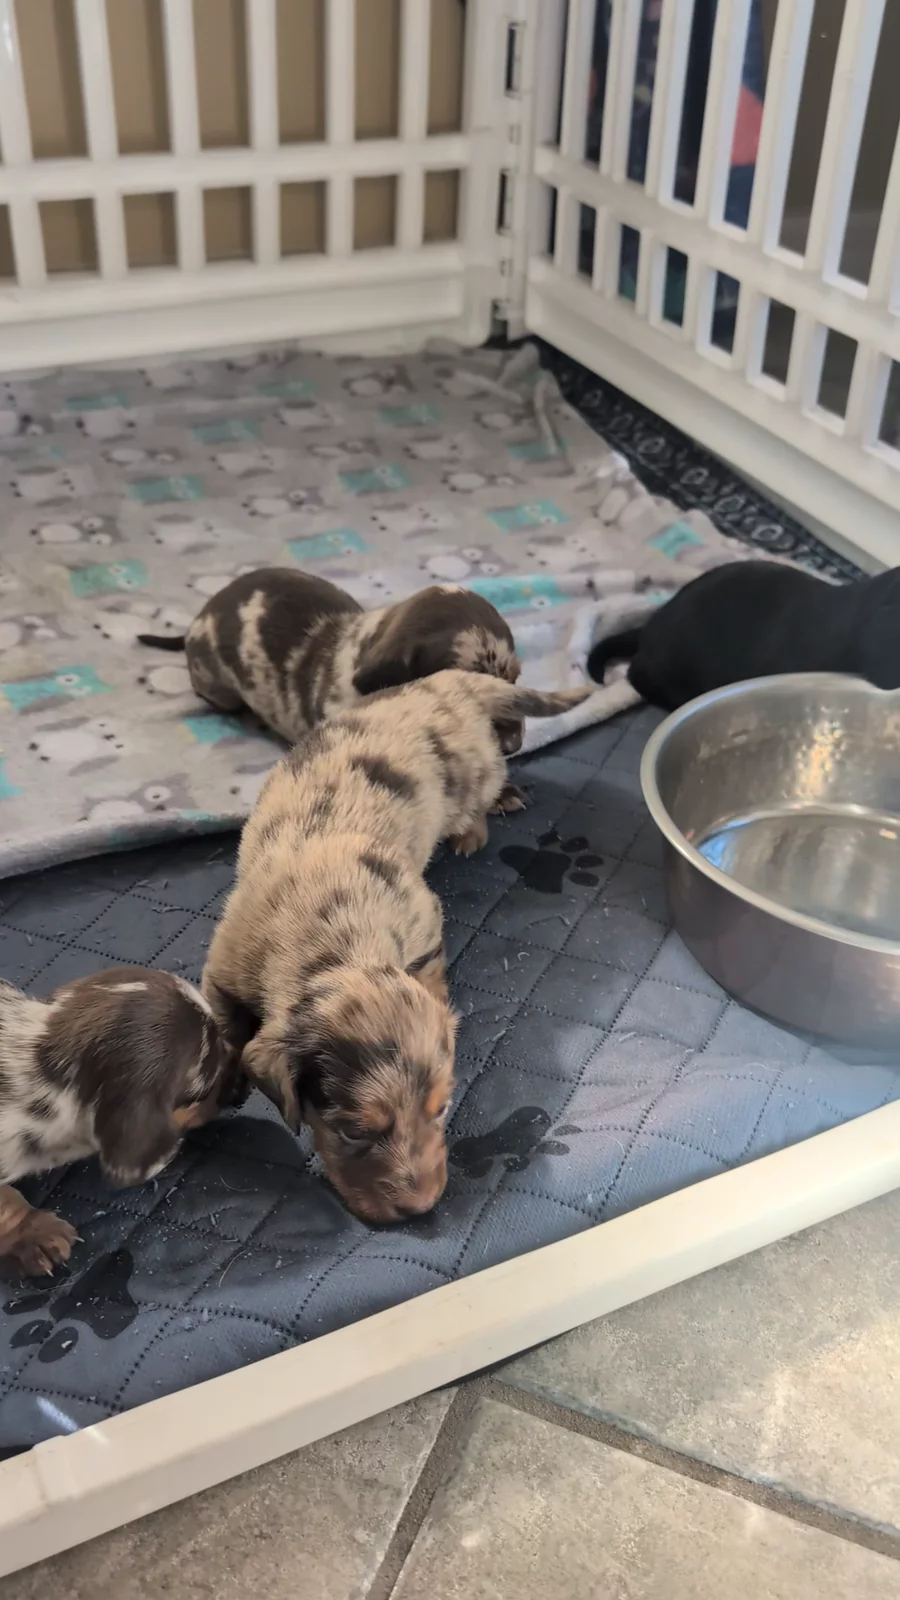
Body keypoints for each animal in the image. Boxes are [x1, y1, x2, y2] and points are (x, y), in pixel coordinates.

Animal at [203, 669, 590, 1225]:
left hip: (474, 774)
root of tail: (448, 682)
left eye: (443, 1108)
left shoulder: (423, 922)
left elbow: (430, 973)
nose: (421, 1209)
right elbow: (229, 1028)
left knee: (479, 799)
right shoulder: (224, 968)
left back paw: (475, 828)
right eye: (351, 1130)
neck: (334, 934)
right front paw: (229, 1081)